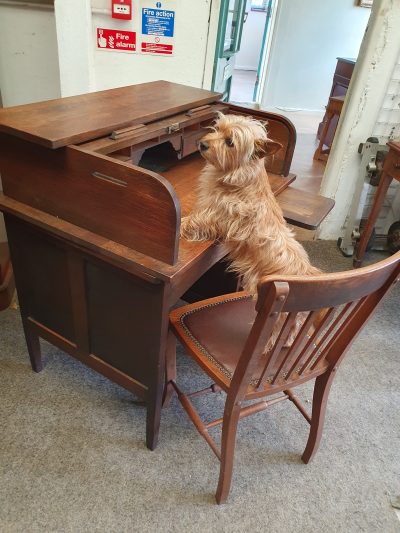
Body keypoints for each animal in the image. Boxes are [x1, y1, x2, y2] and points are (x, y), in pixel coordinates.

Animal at [181, 112, 322, 344]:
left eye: (230, 142)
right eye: (217, 128)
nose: (202, 144)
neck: (239, 176)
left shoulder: (213, 217)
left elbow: (194, 220)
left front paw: (179, 225)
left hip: (281, 319)